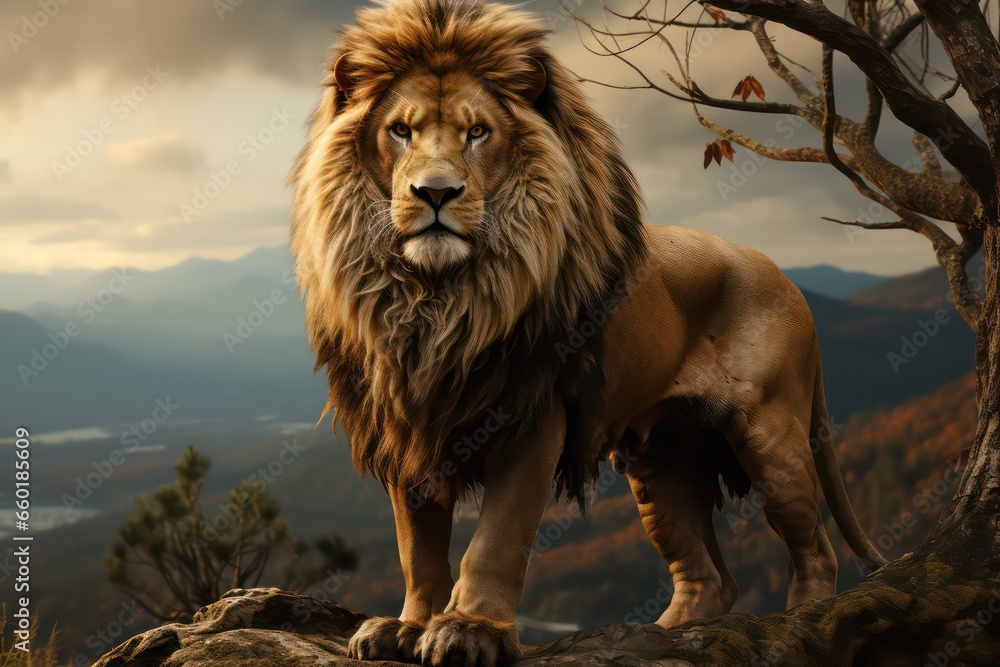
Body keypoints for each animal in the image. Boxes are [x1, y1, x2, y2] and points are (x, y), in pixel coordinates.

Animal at [289, 0, 887, 664]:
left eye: (478, 133)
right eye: (400, 131)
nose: (436, 193)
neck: (439, 297)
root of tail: (783, 274)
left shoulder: (535, 415)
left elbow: (498, 538)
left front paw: (471, 629)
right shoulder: (406, 422)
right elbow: (416, 549)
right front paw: (406, 627)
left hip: (772, 438)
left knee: (816, 550)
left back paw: (797, 623)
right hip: (662, 462)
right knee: (709, 578)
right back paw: (662, 637)